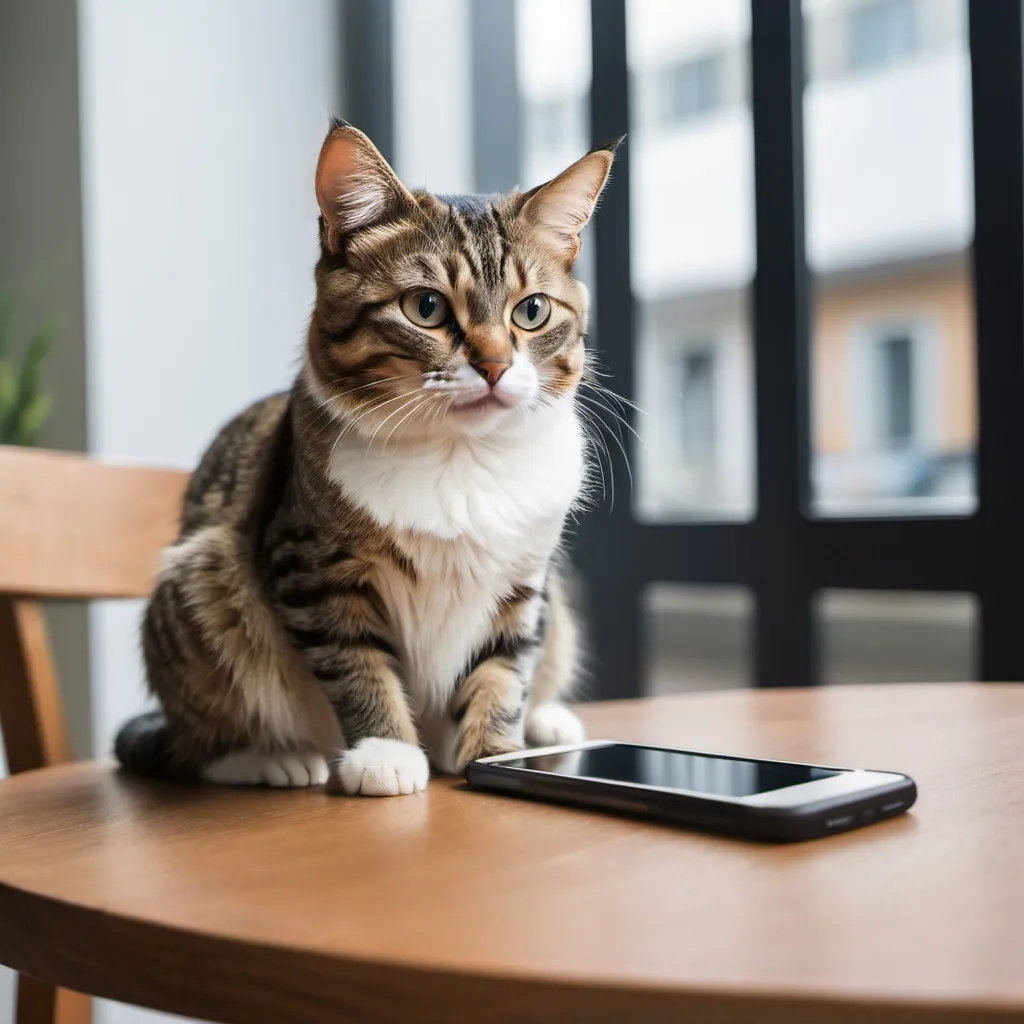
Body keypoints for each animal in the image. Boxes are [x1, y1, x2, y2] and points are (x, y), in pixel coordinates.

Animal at [116, 117, 618, 790]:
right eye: (426, 307)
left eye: (531, 311)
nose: (494, 366)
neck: (460, 458)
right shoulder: (312, 567)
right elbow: (357, 665)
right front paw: (387, 752)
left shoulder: (525, 581)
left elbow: (503, 671)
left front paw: (498, 753)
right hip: (201, 580)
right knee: (198, 739)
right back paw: (270, 757)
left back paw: (549, 722)